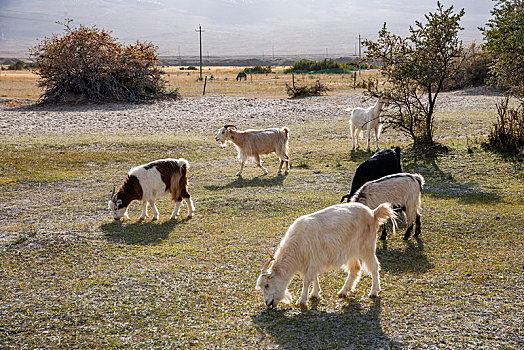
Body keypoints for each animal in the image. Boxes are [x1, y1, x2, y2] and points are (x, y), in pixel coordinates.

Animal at [255, 201, 398, 308]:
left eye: (267, 285)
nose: (268, 303)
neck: (297, 243)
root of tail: (373, 213)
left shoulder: (313, 261)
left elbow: (307, 280)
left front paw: (302, 300)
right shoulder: (312, 262)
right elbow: (314, 278)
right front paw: (314, 294)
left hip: (366, 247)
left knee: (374, 267)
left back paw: (374, 292)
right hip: (351, 251)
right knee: (355, 269)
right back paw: (343, 291)